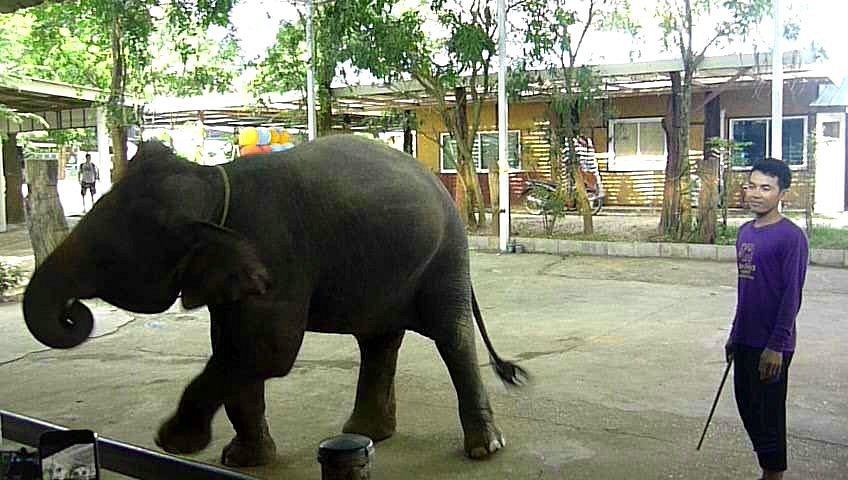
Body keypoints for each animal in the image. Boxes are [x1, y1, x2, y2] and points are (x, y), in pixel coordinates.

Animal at [23, 134, 528, 464]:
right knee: (379, 340)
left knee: (450, 336)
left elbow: (267, 351)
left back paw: (483, 449)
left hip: (445, 256)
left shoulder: (275, 255)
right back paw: (364, 434)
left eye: (107, 257)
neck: (212, 183)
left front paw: (174, 442)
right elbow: (235, 350)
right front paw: (242, 459)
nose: (75, 314)